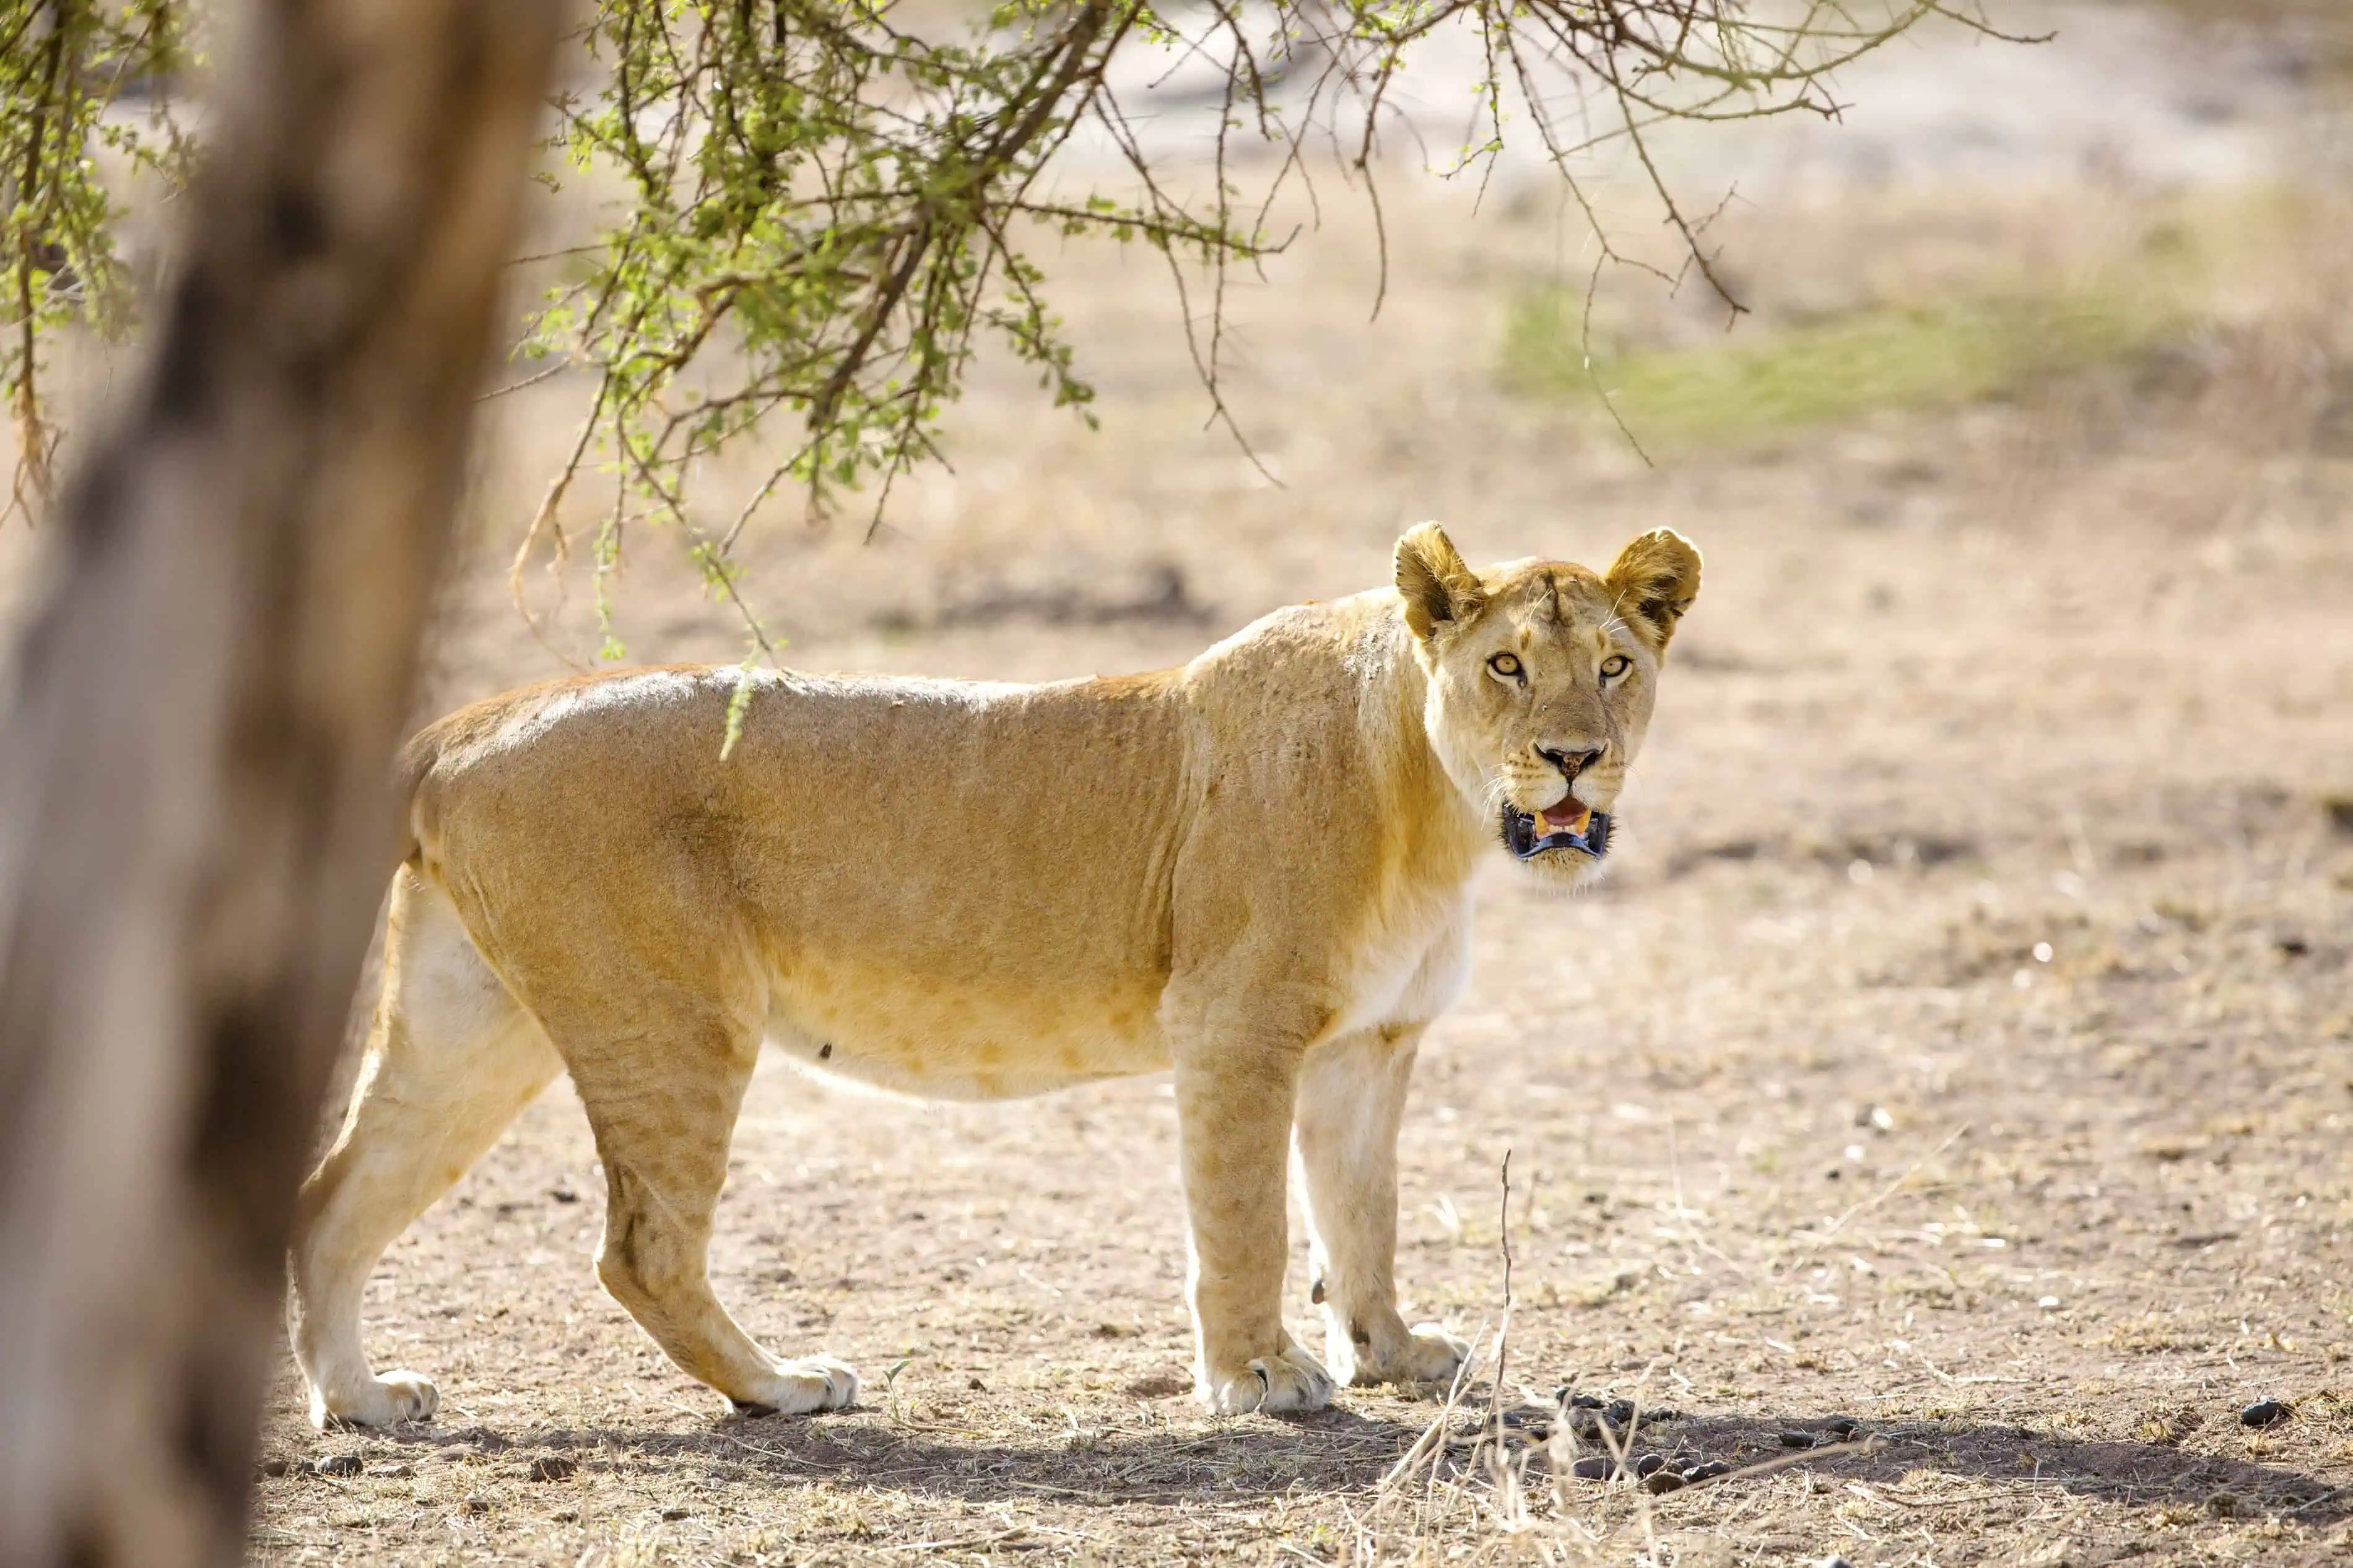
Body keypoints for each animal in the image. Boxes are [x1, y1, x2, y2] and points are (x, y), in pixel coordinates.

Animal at [288, 523, 1700, 1427]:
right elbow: (1245, 1218)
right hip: (675, 1021)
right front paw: (1258, 1377)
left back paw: (364, 1403)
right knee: (641, 1252)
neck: (1432, 808)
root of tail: (467, 720)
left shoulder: (1371, 1043)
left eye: (1614, 666)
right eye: (1505, 665)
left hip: (474, 1023)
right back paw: (783, 1387)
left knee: (330, 1199)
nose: (1573, 757)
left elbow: (1363, 1215)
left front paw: (1393, 1355)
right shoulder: (1234, 1026)